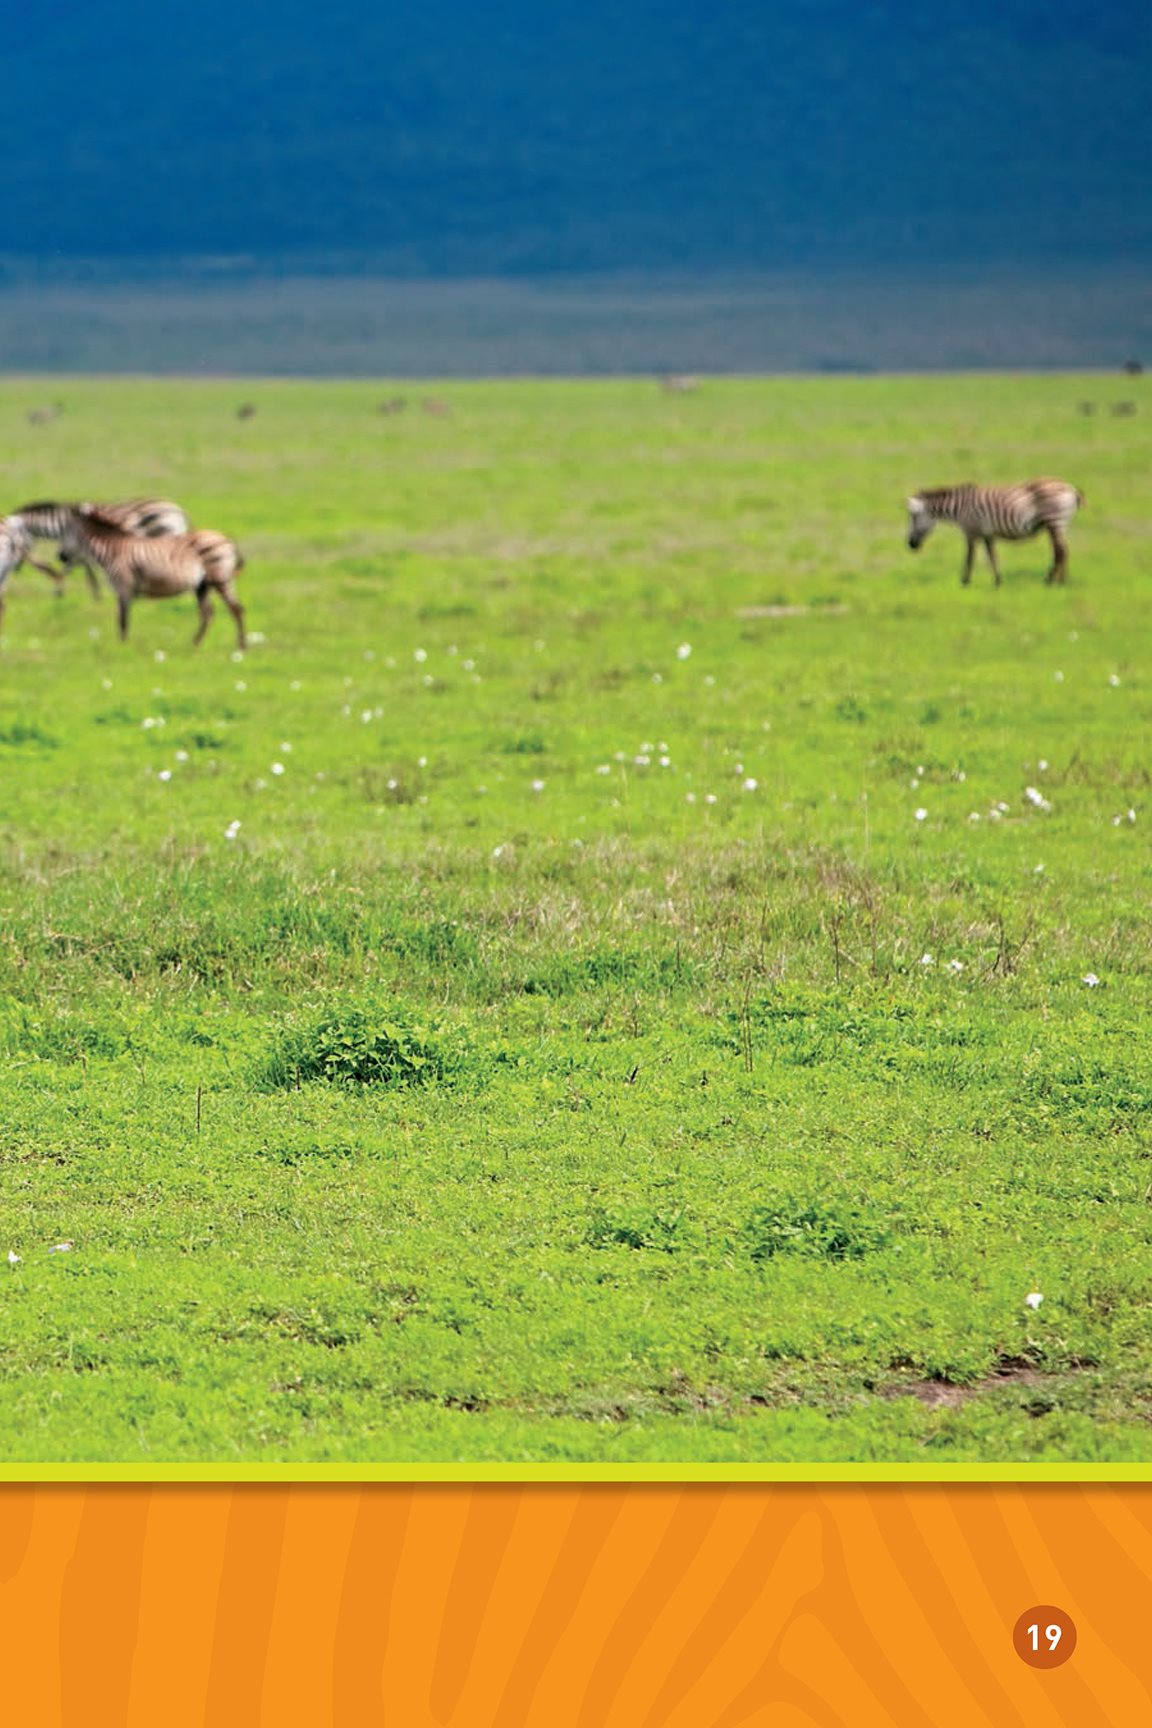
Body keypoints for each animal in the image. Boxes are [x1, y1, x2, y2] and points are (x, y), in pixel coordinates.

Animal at [12, 501, 191, 601]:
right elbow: (86, 570)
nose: (15, 569)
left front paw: (59, 592)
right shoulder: (80, 551)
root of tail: (178, 510)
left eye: (14, 544)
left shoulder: (80, 550)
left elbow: (75, 570)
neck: (62, 523)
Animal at [66, 511, 245, 653]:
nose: (62, 557)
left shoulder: (124, 586)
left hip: (220, 579)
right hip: (202, 585)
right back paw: (194, 645)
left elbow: (123, 620)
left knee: (236, 609)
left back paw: (241, 646)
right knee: (208, 613)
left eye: (70, 536)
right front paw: (122, 646)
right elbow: (122, 619)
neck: (113, 550)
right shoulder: (123, 590)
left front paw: (122, 648)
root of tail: (226, 539)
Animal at [905, 480, 1084, 587]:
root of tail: (1070, 488)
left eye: (913, 517)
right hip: (1057, 524)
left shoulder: (971, 531)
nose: (910, 545)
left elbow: (969, 557)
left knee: (1060, 551)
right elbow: (992, 556)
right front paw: (998, 581)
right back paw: (1061, 581)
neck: (959, 507)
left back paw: (1050, 581)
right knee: (1063, 550)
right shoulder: (987, 533)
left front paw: (965, 582)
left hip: (1054, 521)